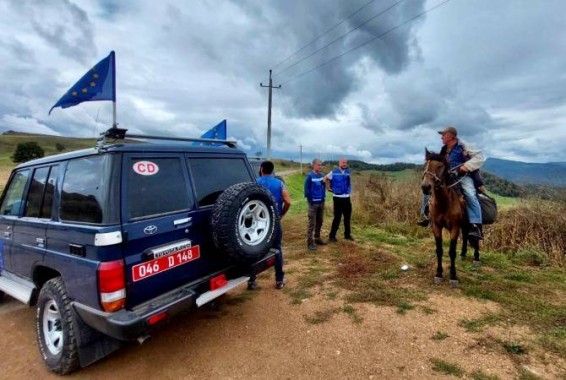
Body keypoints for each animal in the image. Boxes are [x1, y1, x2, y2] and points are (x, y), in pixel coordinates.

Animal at [424, 148, 482, 284]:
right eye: (425, 165)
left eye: (440, 166)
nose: (425, 187)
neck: (444, 203)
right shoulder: (436, 226)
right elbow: (439, 250)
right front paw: (439, 273)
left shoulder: (454, 227)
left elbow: (452, 251)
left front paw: (453, 275)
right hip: (464, 224)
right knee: (466, 235)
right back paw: (463, 254)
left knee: (476, 236)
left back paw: (476, 258)